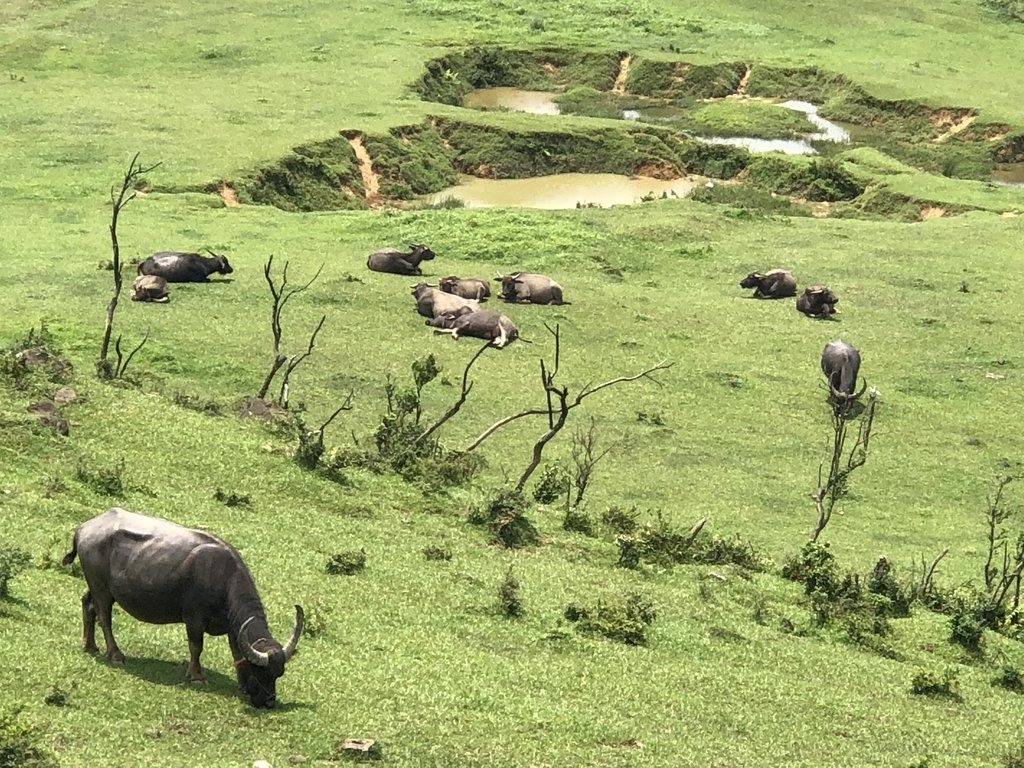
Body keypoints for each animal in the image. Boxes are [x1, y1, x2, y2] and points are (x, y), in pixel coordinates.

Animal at [62, 507, 303, 712]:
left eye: (278, 674)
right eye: (260, 671)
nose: (269, 701)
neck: (223, 578)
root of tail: (84, 527)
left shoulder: (232, 628)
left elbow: (236, 651)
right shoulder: (194, 618)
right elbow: (196, 646)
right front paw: (196, 676)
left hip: (96, 585)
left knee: (88, 604)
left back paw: (90, 645)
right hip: (102, 588)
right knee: (104, 616)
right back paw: (115, 654)